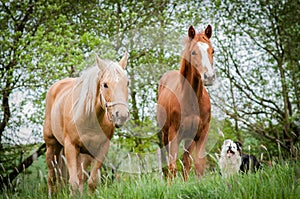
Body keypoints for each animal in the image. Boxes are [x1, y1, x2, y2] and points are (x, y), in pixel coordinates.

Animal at [42, 52, 129, 194]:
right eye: (105, 84)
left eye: (127, 83)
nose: (121, 115)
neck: (89, 118)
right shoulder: (71, 147)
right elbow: (73, 183)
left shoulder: (101, 149)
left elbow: (91, 182)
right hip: (52, 147)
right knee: (52, 177)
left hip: (84, 154)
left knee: (81, 176)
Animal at [157, 25, 216, 182]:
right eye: (193, 52)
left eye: (212, 50)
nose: (209, 77)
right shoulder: (174, 134)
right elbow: (172, 166)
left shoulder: (201, 133)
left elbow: (197, 165)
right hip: (165, 135)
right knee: (167, 164)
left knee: (186, 163)